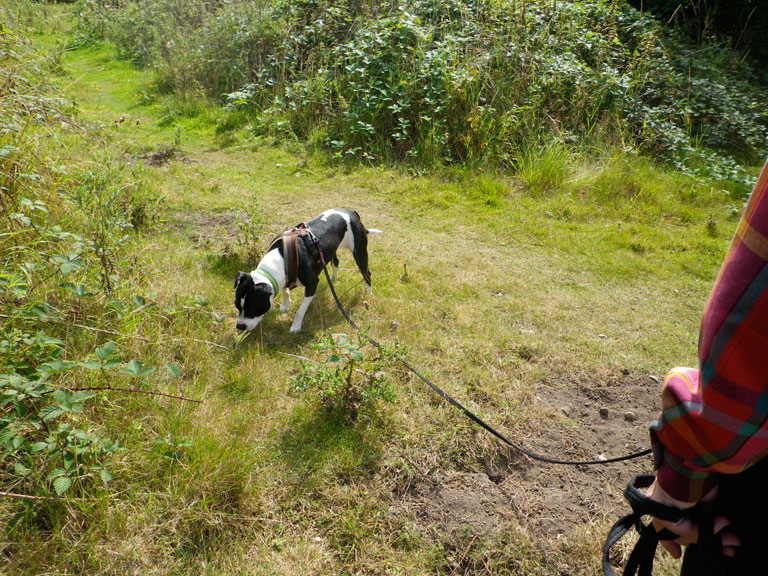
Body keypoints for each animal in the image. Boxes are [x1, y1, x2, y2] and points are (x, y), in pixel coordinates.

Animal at [232, 209, 380, 332]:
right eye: (236, 306)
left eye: (253, 309)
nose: (240, 326)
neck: (282, 258)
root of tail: (351, 212)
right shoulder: (285, 277)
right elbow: (285, 291)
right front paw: (285, 305)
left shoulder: (312, 285)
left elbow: (300, 310)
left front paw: (296, 326)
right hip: (331, 250)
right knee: (336, 261)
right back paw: (333, 279)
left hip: (359, 251)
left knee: (366, 273)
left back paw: (369, 293)